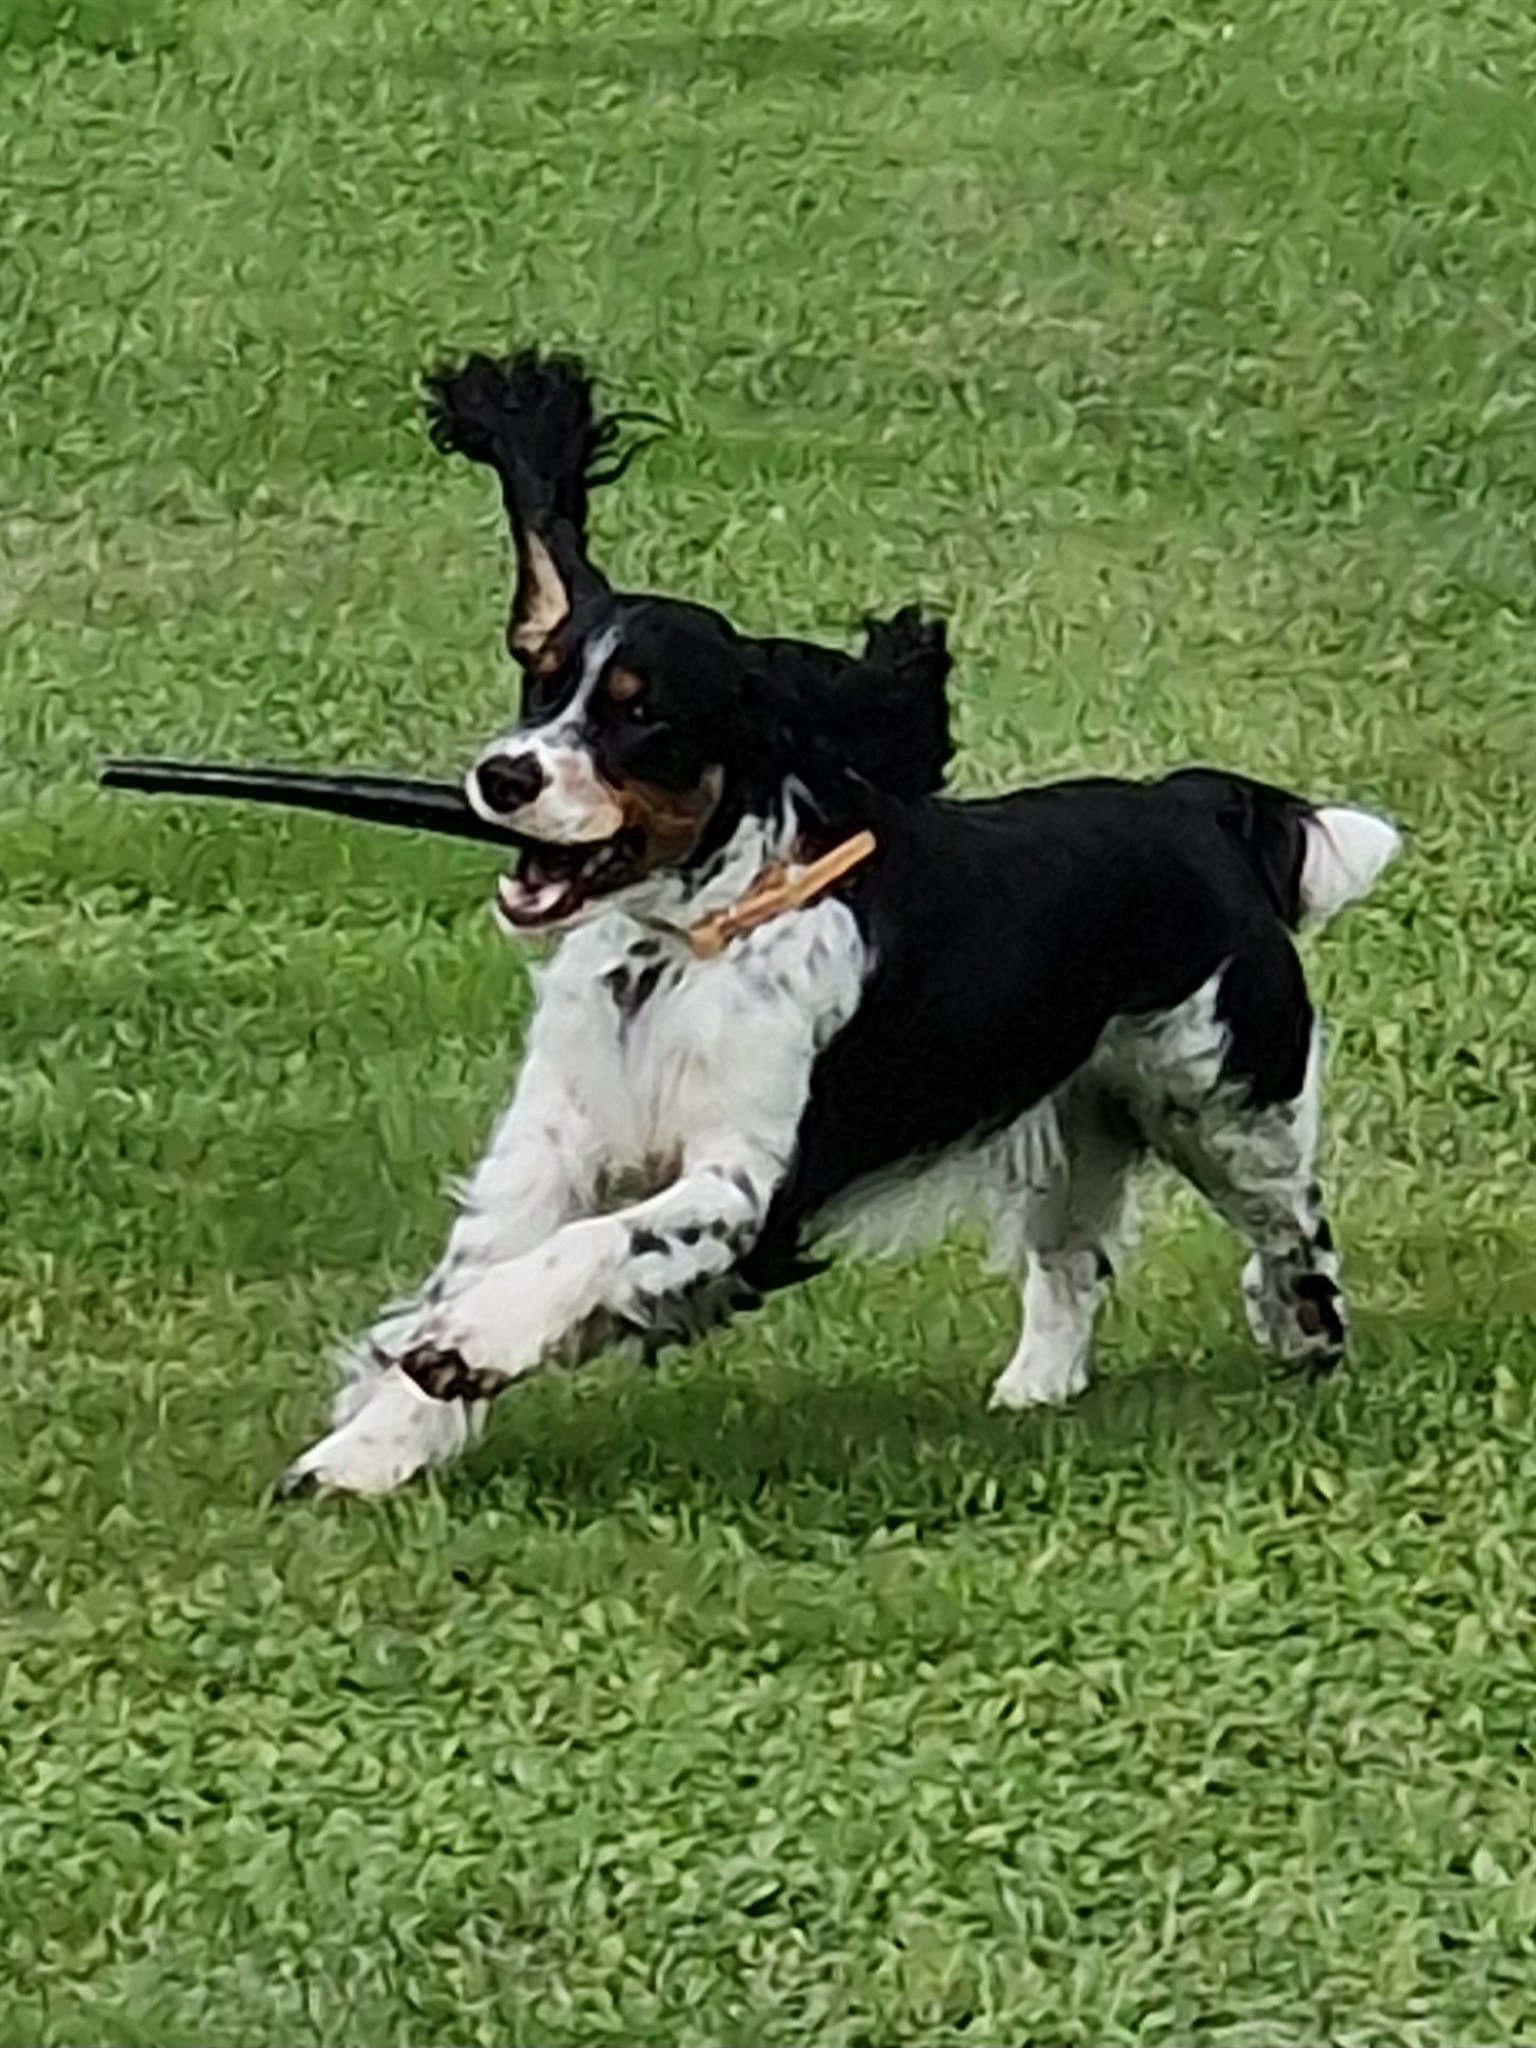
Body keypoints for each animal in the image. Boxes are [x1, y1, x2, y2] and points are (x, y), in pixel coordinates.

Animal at [277, 350, 1400, 1497]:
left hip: (1224, 1099)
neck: (678, 952)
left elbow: (592, 1250)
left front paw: (467, 1345)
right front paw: (364, 1451)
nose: (505, 776)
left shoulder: (745, 1186)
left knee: (1291, 1223)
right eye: (540, 683)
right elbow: (476, 1266)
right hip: (1080, 1108)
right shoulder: (547, 1147)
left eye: (643, 712)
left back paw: (1303, 1331)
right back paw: (1033, 1387)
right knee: (1070, 1255)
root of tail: (1193, 806)